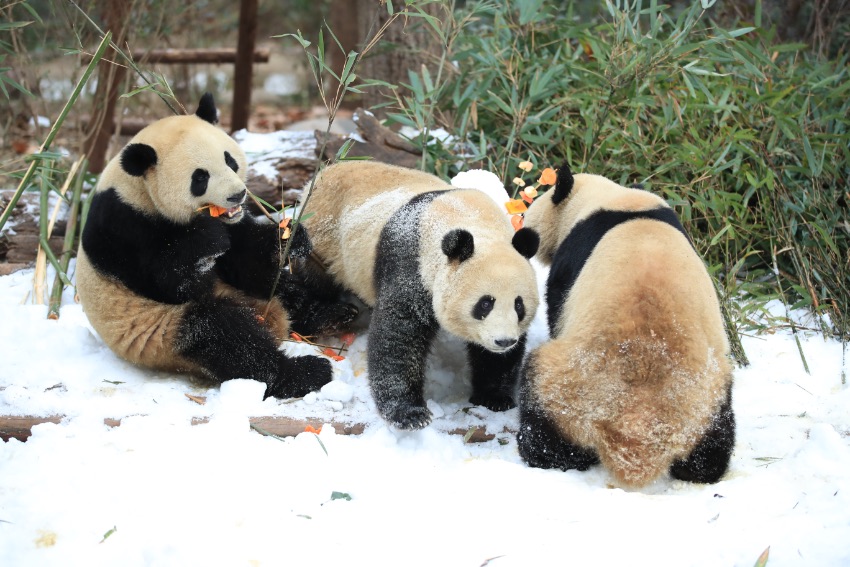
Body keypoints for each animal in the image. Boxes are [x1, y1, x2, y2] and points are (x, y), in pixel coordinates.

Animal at [75, 93, 357, 399]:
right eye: (200, 177)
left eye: (229, 160)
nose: (238, 195)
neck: (137, 189)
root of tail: (269, 318)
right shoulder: (122, 229)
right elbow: (172, 284)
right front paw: (207, 239)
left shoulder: (233, 225)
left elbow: (243, 260)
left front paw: (289, 237)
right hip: (161, 333)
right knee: (222, 336)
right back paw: (303, 372)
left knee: (278, 287)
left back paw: (331, 315)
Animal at [301, 161, 540, 430]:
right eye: (485, 304)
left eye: (519, 306)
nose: (504, 341)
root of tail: (326, 171)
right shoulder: (412, 265)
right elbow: (398, 337)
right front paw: (409, 414)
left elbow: (497, 361)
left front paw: (494, 397)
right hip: (323, 236)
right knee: (311, 281)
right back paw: (329, 316)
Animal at [517, 163, 735, 487]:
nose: (523, 227)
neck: (615, 198)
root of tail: (636, 433)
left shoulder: (571, 260)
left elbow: (556, 303)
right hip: (707, 399)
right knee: (712, 448)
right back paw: (701, 469)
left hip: (570, 387)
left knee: (542, 410)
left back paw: (543, 451)